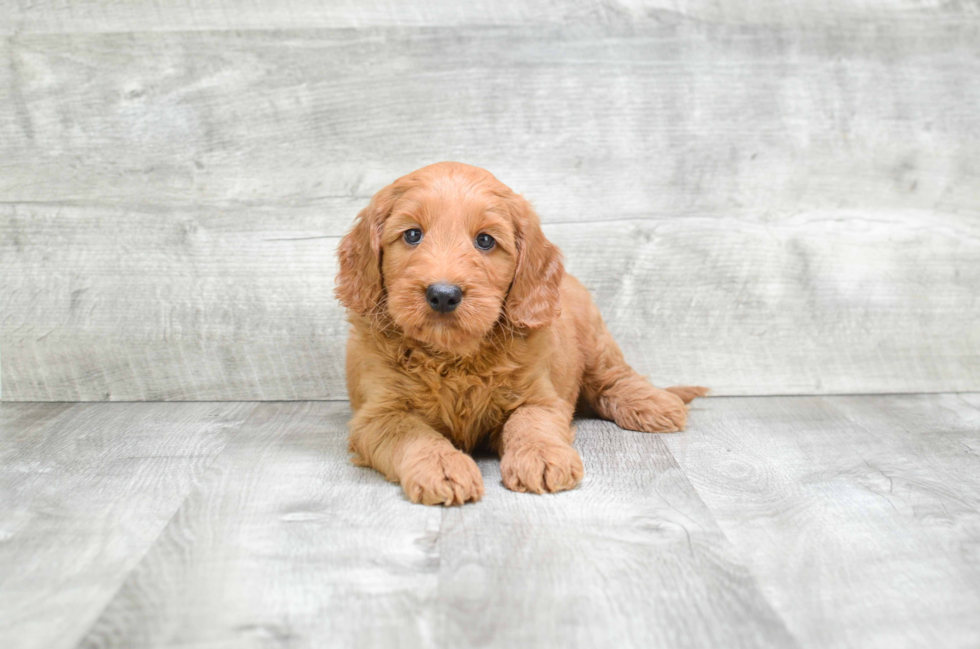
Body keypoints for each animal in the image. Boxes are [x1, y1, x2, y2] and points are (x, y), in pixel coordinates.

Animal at [336, 163, 704, 506]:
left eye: (485, 240)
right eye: (412, 235)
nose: (443, 294)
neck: (454, 356)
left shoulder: (540, 397)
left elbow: (529, 421)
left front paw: (542, 456)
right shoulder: (378, 414)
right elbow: (413, 434)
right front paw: (442, 468)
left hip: (598, 344)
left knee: (615, 378)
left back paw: (654, 403)